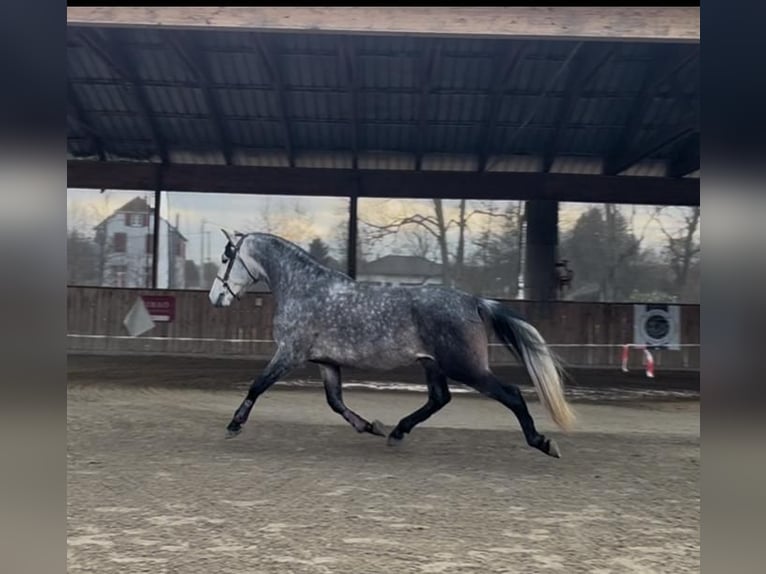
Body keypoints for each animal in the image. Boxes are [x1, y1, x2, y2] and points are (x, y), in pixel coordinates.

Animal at [208, 231, 575, 458]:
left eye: (226, 258)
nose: (215, 298)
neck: (304, 288)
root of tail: (473, 301)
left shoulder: (289, 353)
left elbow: (258, 386)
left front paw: (233, 425)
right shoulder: (326, 362)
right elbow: (336, 402)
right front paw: (371, 426)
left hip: (465, 367)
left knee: (511, 394)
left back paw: (543, 443)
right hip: (432, 364)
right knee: (439, 399)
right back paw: (397, 432)